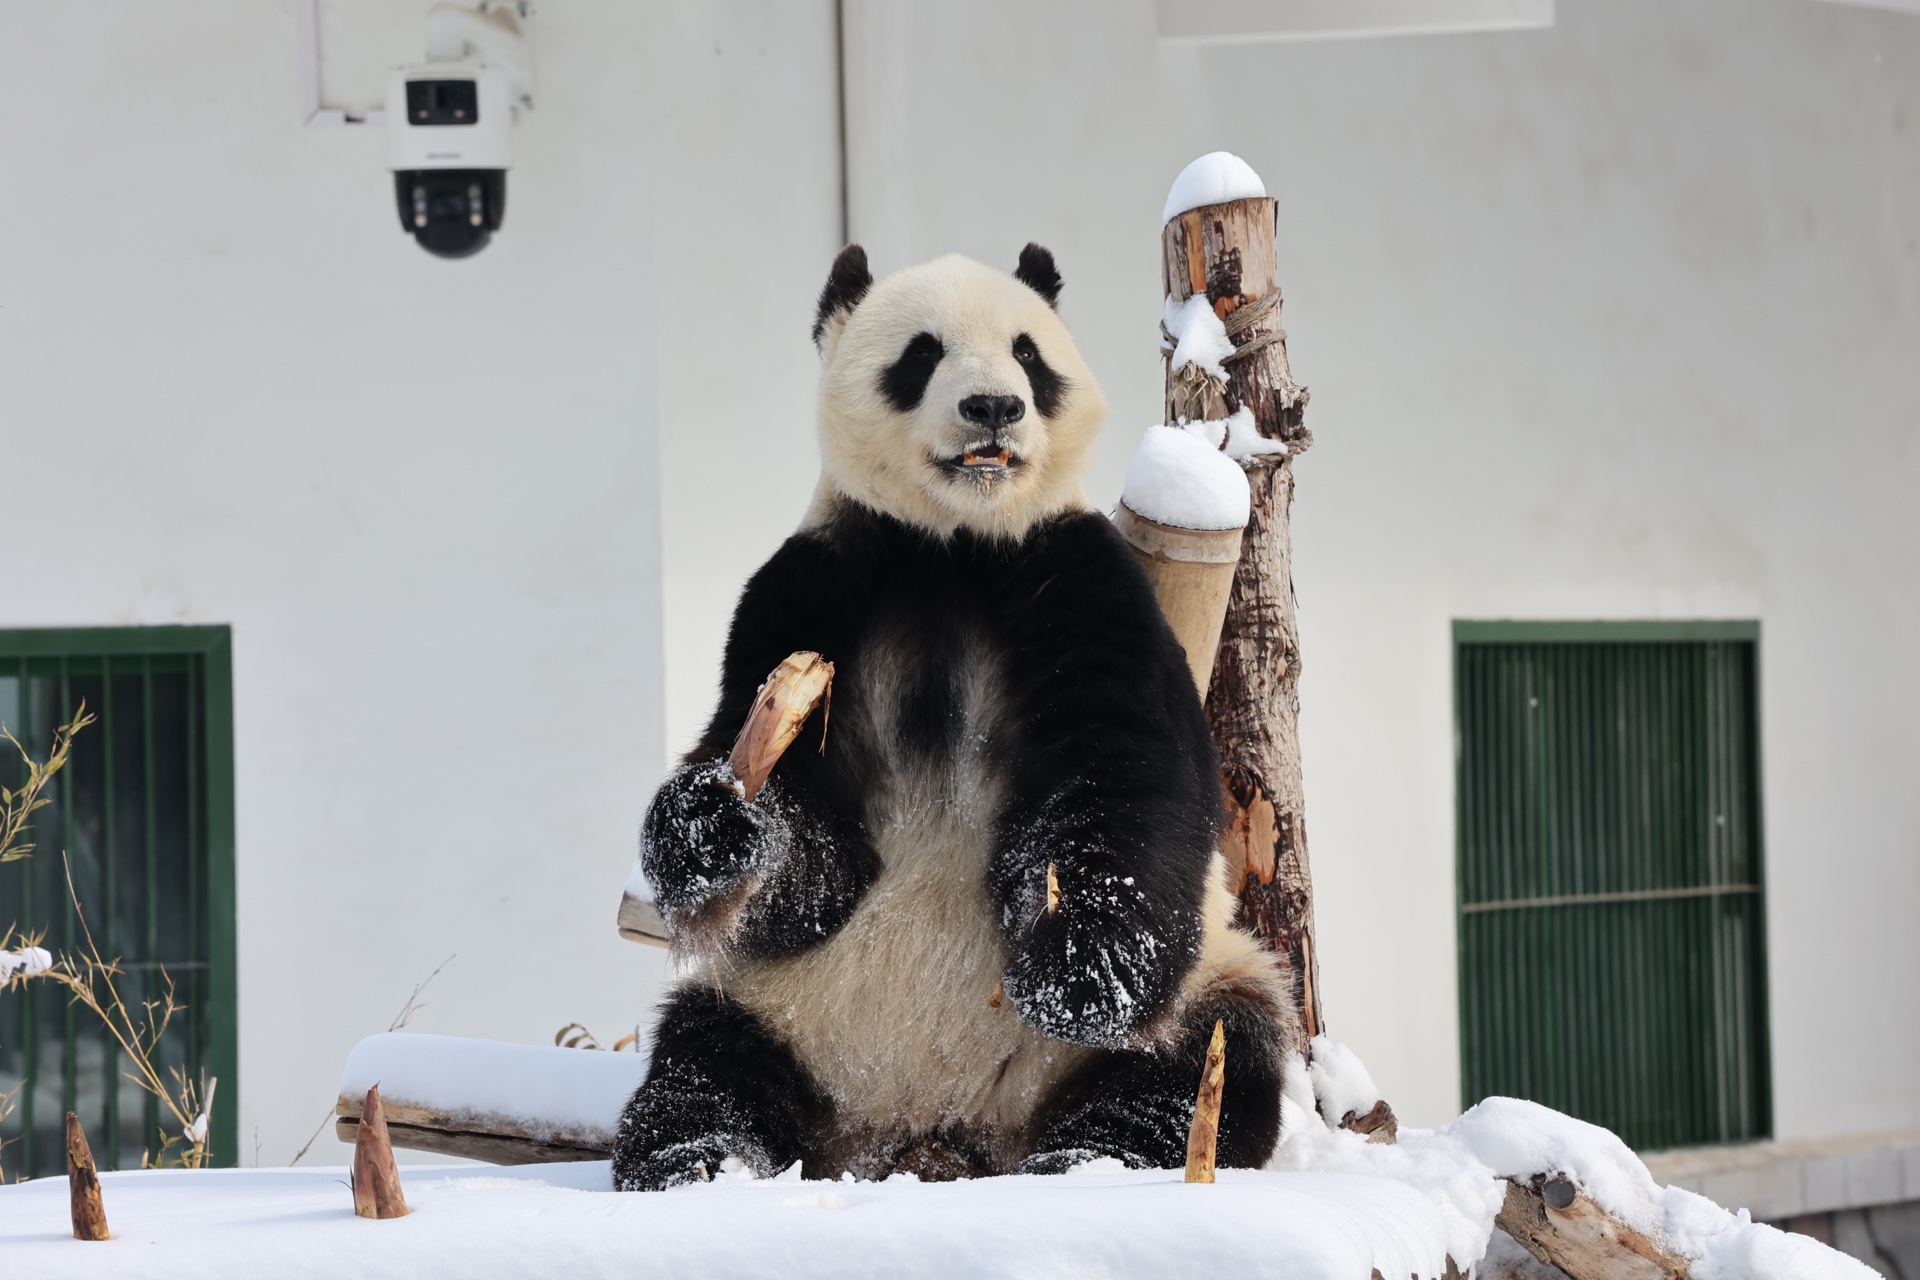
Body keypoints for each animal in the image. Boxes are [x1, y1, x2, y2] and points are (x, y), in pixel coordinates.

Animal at [612, 243, 1299, 1191]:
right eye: (922, 353)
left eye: (1028, 355)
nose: (995, 407)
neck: (952, 545)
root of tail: (928, 1135)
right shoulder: (815, 587)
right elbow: (804, 851)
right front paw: (716, 820)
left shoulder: (1080, 579)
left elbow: (1129, 773)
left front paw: (1077, 967)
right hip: (777, 1009)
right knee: (701, 1069)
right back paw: (703, 1167)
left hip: (1205, 985)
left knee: (1200, 1062)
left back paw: (1091, 1163)